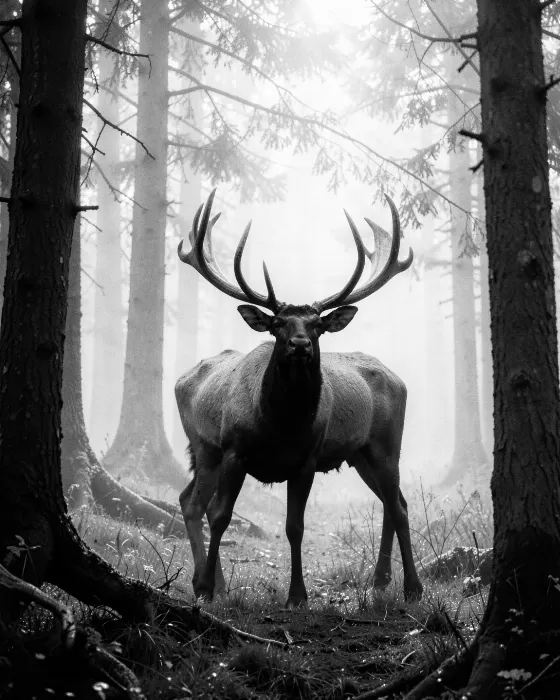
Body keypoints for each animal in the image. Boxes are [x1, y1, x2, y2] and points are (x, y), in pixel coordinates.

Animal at [175, 189, 423, 608]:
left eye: (318, 325)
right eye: (278, 323)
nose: (300, 344)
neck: (280, 425)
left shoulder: (307, 459)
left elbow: (295, 526)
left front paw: (297, 596)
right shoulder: (234, 450)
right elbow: (221, 515)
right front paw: (207, 587)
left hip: (385, 444)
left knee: (399, 506)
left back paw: (410, 587)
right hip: (208, 448)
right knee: (191, 502)